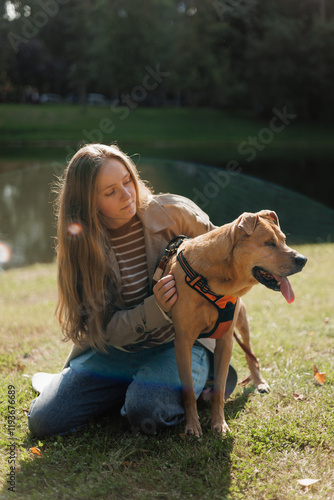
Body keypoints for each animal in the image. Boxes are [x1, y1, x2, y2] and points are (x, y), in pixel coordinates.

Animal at [168, 209, 306, 436]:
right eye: (269, 243)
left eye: (284, 240)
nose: (303, 259)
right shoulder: (183, 342)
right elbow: (188, 391)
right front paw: (192, 426)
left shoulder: (226, 340)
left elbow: (219, 388)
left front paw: (218, 423)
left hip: (243, 323)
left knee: (250, 355)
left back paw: (259, 382)